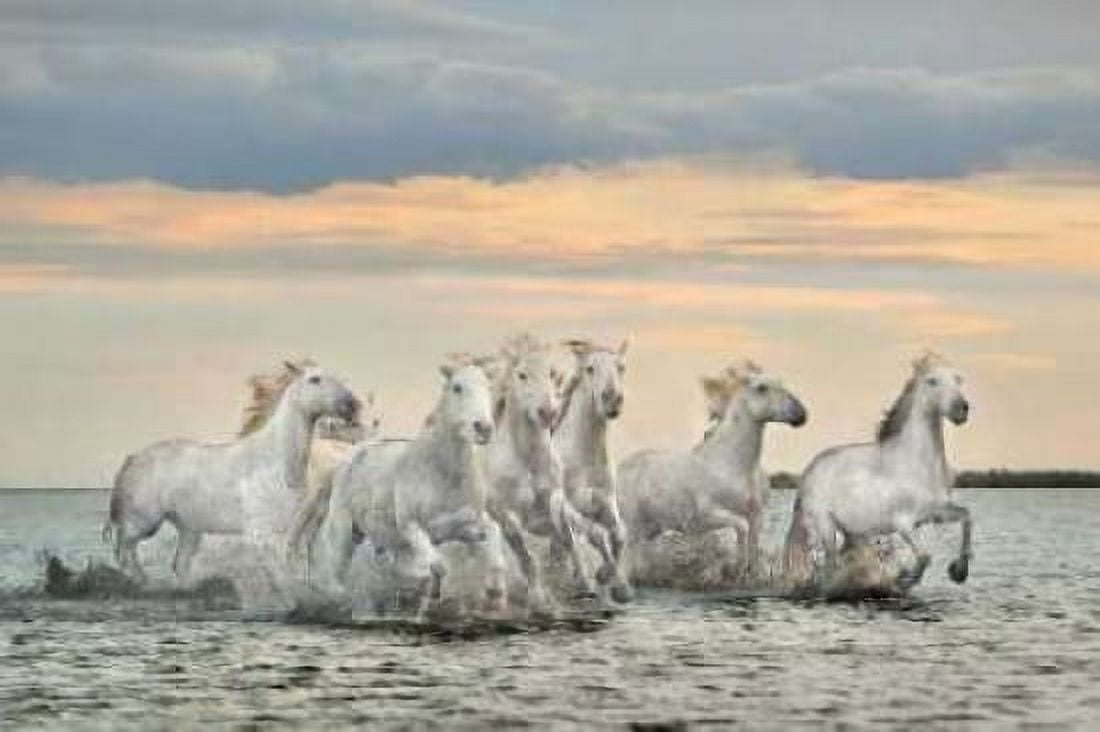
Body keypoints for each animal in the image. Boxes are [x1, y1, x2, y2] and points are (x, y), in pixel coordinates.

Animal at [103, 361, 361, 585]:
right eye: (314, 379)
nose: (351, 405)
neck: (275, 460)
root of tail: (132, 459)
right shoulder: (266, 533)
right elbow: (279, 573)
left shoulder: (291, 528)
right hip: (143, 522)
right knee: (125, 551)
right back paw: (143, 584)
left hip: (189, 530)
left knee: (177, 564)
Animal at [308, 361, 508, 616]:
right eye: (457, 387)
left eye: (489, 388)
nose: (483, 428)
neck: (444, 474)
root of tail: (357, 450)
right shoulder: (413, 527)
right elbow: (438, 566)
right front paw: (430, 591)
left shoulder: (464, 526)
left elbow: (493, 537)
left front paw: (495, 594)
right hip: (343, 531)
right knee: (334, 574)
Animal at [550, 338, 634, 602]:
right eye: (590, 369)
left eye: (621, 367)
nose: (612, 399)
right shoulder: (567, 507)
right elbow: (596, 534)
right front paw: (603, 576)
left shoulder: (605, 502)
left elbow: (619, 533)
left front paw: (619, 587)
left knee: (563, 547)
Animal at [618, 361, 807, 584]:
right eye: (761, 388)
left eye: (782, 384)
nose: (801, 414)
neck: (733, 463)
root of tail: (622, 466)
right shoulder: (709, 513)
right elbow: (741, 528)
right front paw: (736, 569)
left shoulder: (757, 515)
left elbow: (753, 546)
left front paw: (750, 574)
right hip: (633, 526)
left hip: (651, 528)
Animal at [783, 352, 973, 588]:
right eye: (932, 381)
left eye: (958, 380)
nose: (962, 409)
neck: (917, 464)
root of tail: (808, 473)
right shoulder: (903, 523)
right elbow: (924, 557)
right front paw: (904, 579)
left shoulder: (935, 513)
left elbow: (967, 517)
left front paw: (959, 571)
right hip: (825, 528)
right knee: (829, 566)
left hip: (851, 532)